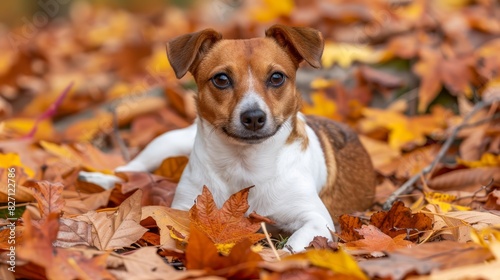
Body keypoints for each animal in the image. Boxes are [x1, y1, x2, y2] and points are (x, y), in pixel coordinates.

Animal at [80, 24, 376, 252]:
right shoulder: (183, 209)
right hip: (166, 143)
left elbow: (294, 245)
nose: (254, 116)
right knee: (131, 170)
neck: (243, 165)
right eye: (221, 79)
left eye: (277, 77)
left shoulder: (316, 219)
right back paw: (99, 179)